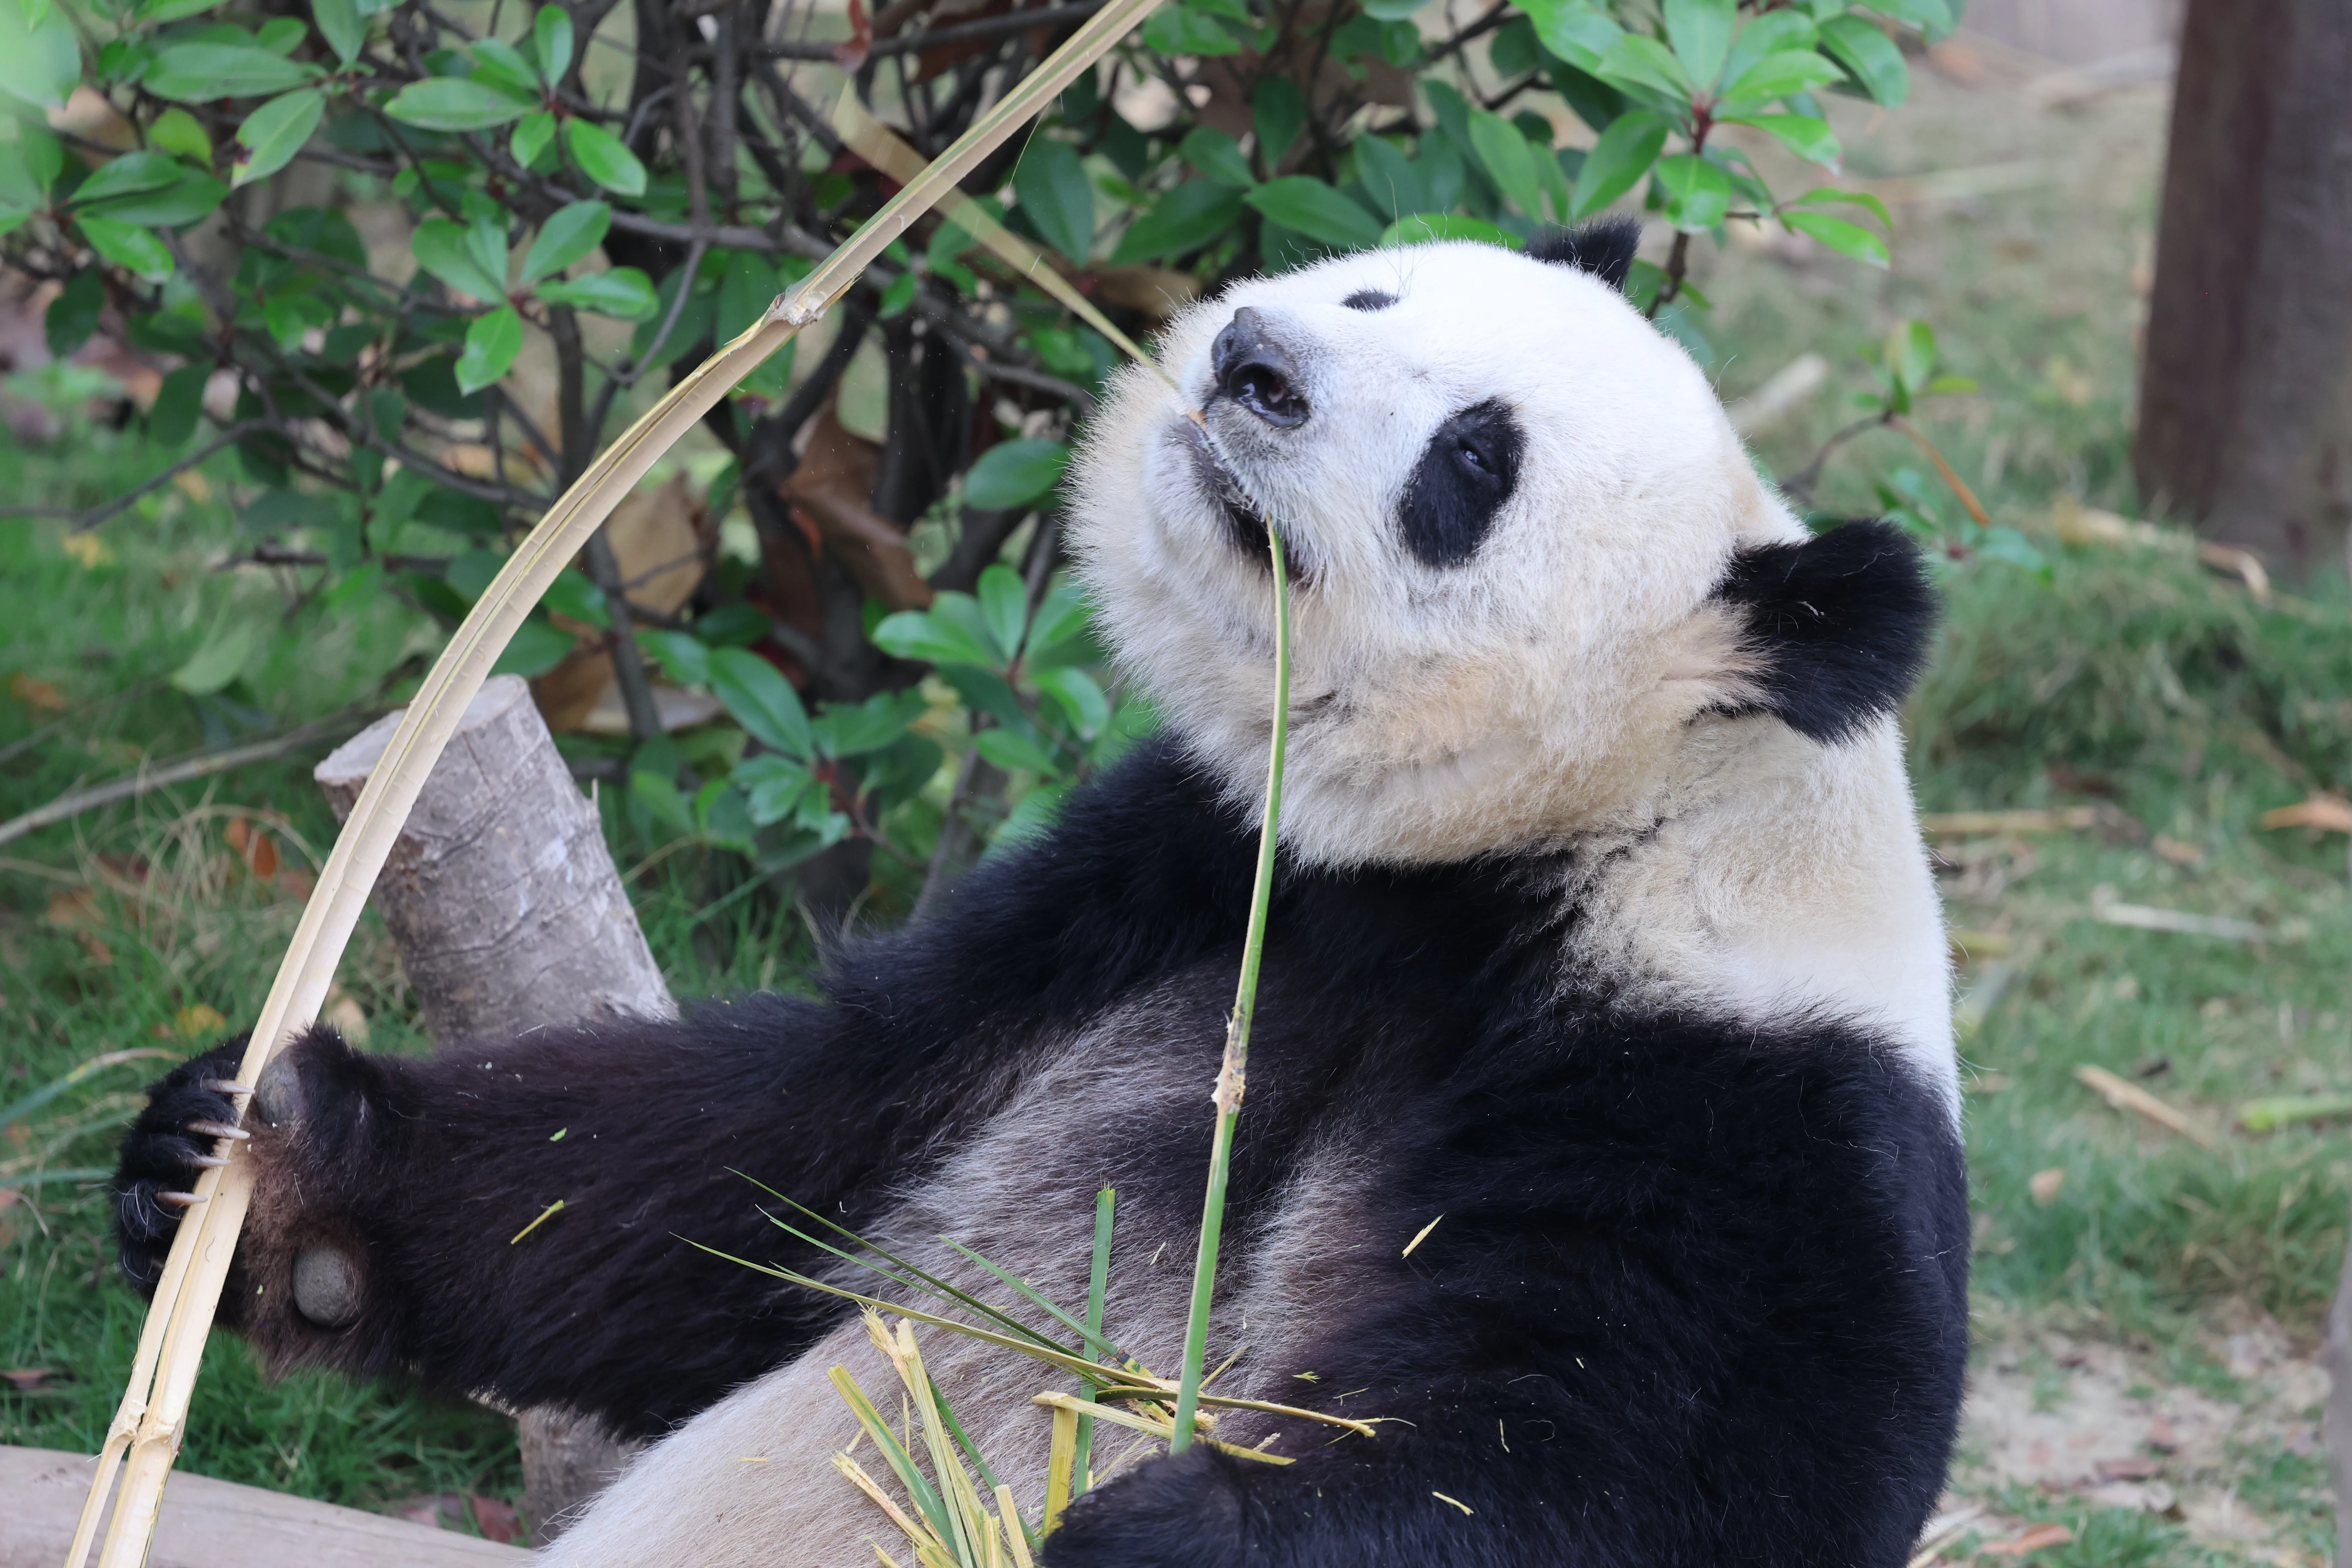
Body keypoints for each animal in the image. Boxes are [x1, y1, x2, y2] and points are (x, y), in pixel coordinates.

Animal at [115, 218, 1966, 1568]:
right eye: (1374, 286)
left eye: (1472, 463)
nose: (1253, 361)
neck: (1534, 847)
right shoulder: (1169, 888)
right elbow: (753, 1172)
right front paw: (273, 1175)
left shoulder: (1740, 1115)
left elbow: (1632, 1472)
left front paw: (1156, 1527)